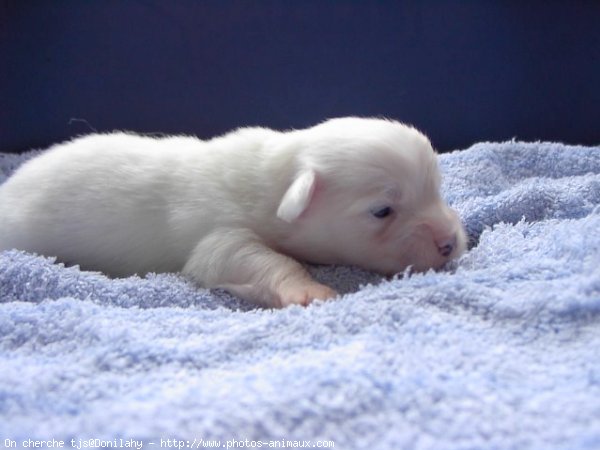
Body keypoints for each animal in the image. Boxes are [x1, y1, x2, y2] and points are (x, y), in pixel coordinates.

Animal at [0, 118, 466, 308]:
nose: (451, 243)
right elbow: (243, 258)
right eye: (382, 211)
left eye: (436, 189)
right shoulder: (217, 231)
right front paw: (307, 289)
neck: (271, 182)